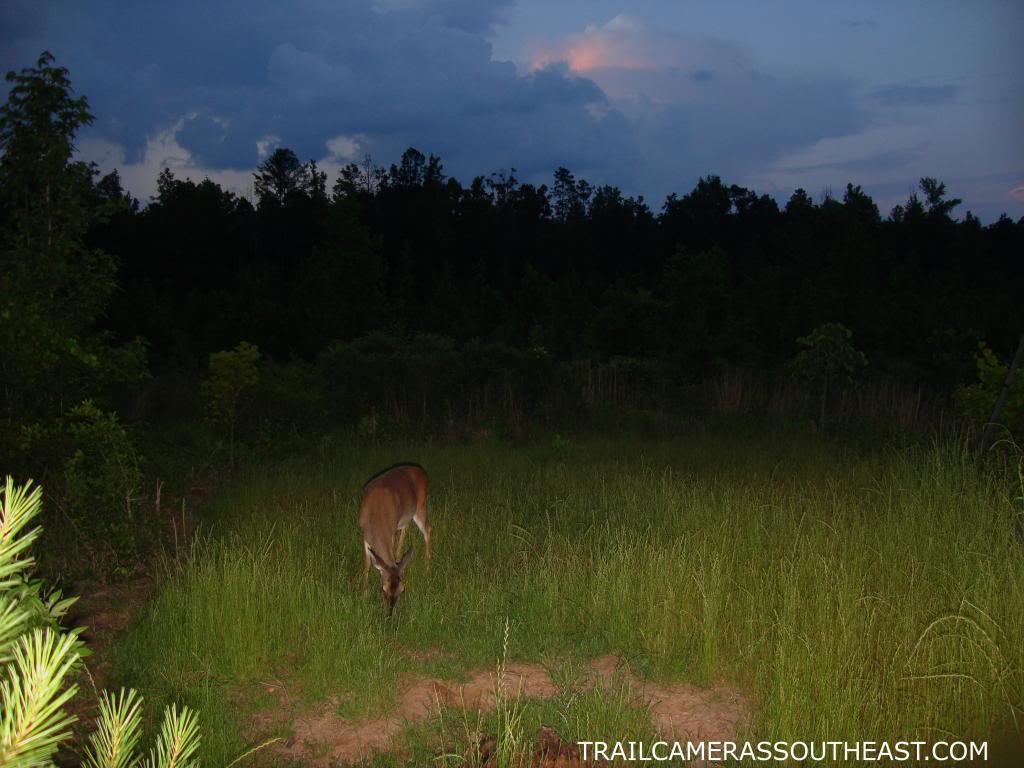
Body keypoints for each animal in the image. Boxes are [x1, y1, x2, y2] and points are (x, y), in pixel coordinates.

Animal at [358, 462, 430, 618]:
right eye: (382, 588)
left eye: (402, 590)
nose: (390, 614)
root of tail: (420, 470)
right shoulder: (365, 534)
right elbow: (367, 565)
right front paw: (364, 594)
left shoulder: (390, 531)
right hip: (407, 516)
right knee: (407, 529)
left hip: (420, 506)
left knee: (428, 529)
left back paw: (427, 564)